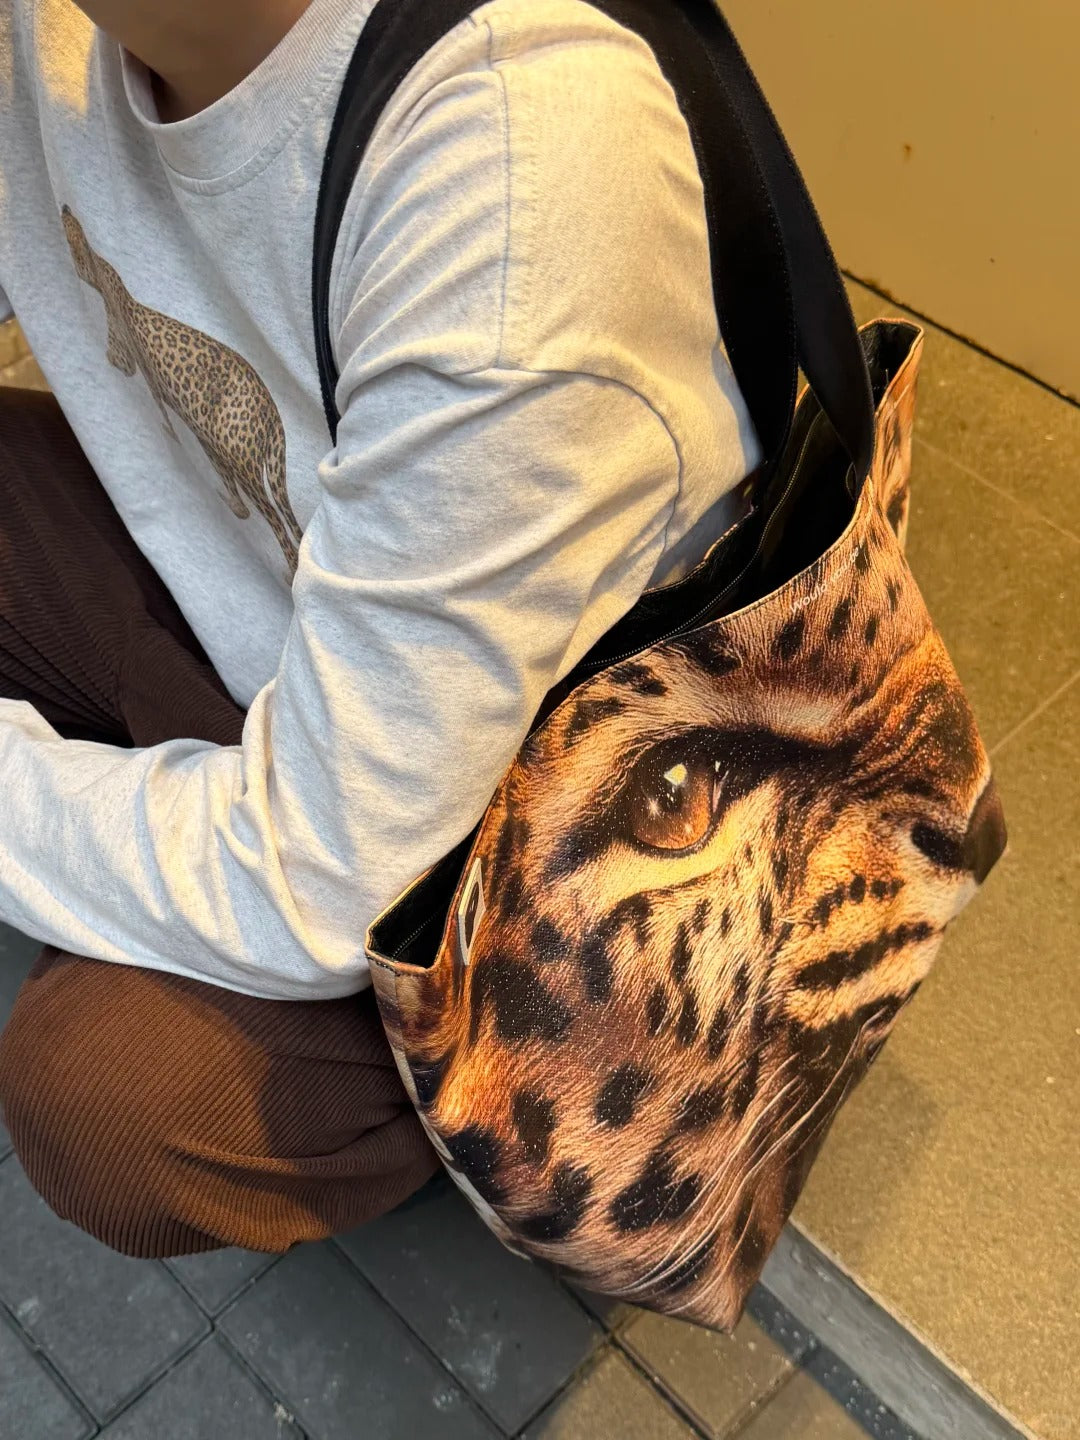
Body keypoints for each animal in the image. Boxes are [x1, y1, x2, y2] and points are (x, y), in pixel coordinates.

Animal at [61, 206, 302, 574]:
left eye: (75, 232)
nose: (65, 210)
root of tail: (272, 412)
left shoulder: (135, 361)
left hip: (243, 461)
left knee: (275, 521)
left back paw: (288, 569)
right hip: (238, 455)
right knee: (273, 515)